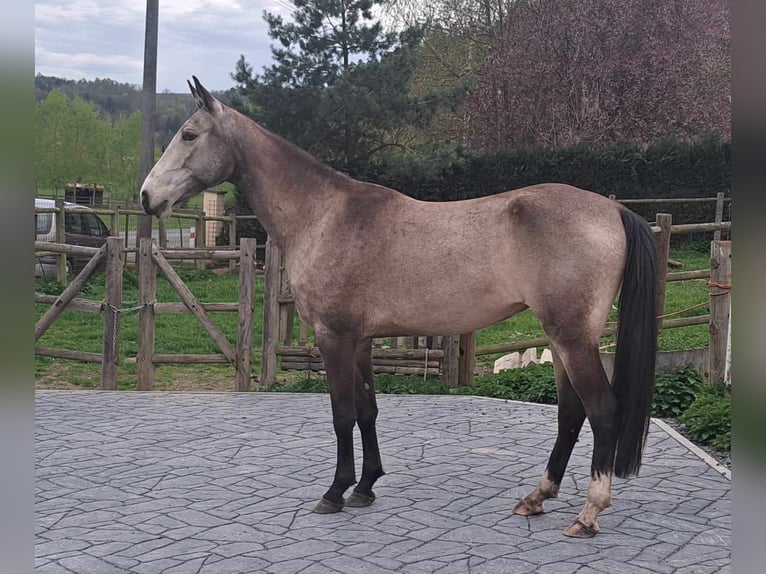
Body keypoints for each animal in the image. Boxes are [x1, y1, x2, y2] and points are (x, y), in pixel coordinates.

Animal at [141, 76, 656, 540]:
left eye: (189, 134)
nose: (148, 197)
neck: (325, 215)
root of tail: (614, 210)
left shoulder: (334, 336)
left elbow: (342, 413)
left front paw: (334, 492)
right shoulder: (361, 341)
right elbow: (368, 410)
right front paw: (365, 487)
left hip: (572, 338)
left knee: (601, 410)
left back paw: (588, 514)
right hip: (561, 338)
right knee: (570, 414)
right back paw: (536, 498)